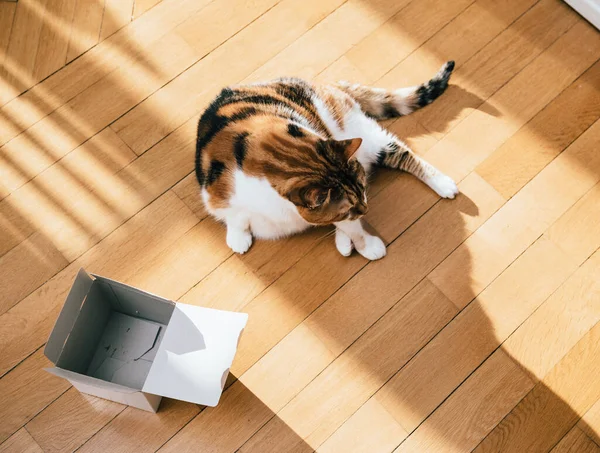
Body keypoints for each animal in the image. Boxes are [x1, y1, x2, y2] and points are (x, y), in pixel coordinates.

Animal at [195, 60, 458, 260]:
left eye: (361, 193)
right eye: (351, 204)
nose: (365, 209)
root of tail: (325, 85)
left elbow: (351, 227)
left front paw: (368, 246)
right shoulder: (215, 190)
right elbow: (234, 215)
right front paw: (238, 237)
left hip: (361, 133)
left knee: (400, 151)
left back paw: (444, 184)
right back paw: (343, 244)